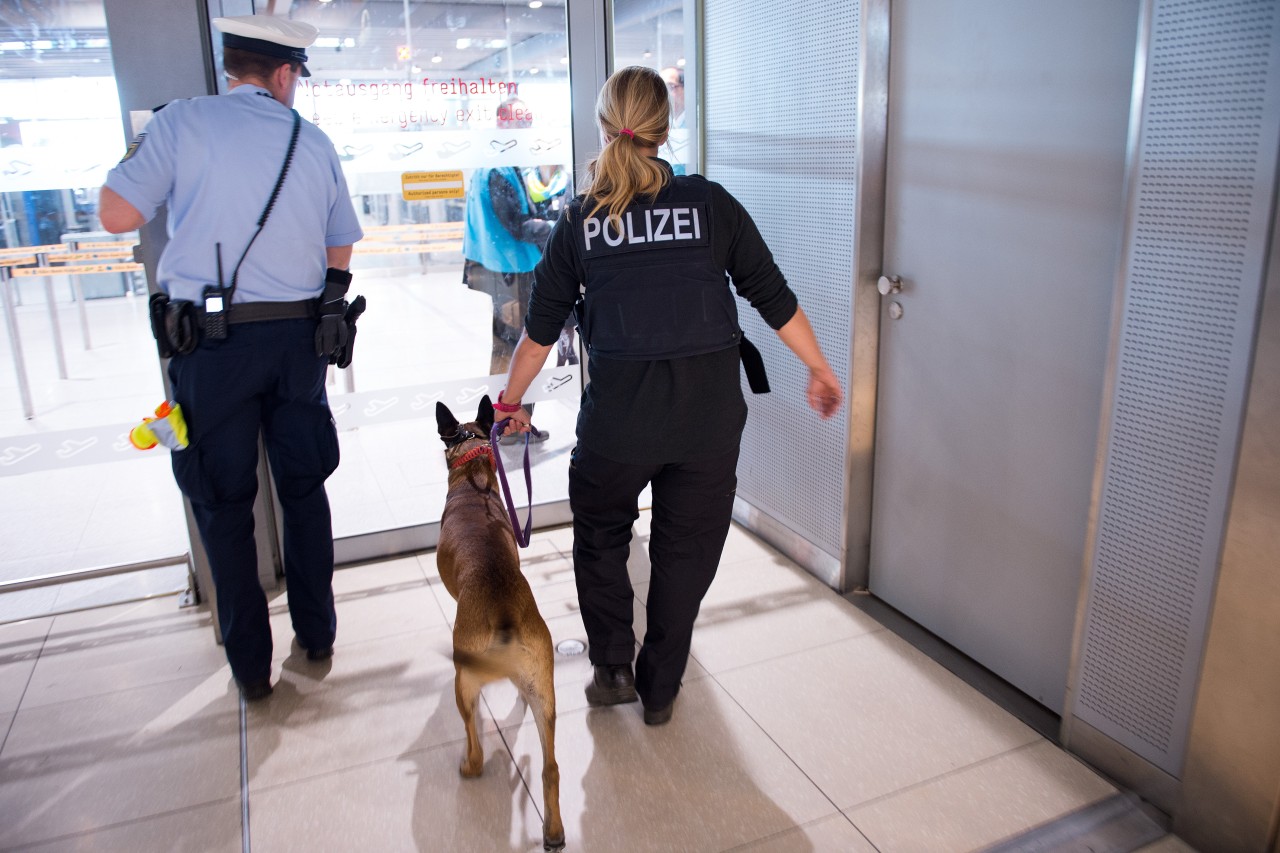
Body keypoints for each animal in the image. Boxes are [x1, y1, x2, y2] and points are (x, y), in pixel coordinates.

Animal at [437, 394, 563, 845]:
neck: (473, 475)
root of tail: (505, 613)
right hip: (544, 694)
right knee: (550, 768)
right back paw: (554, 831)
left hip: (464, 681)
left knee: (473, 735)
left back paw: (471, 766)